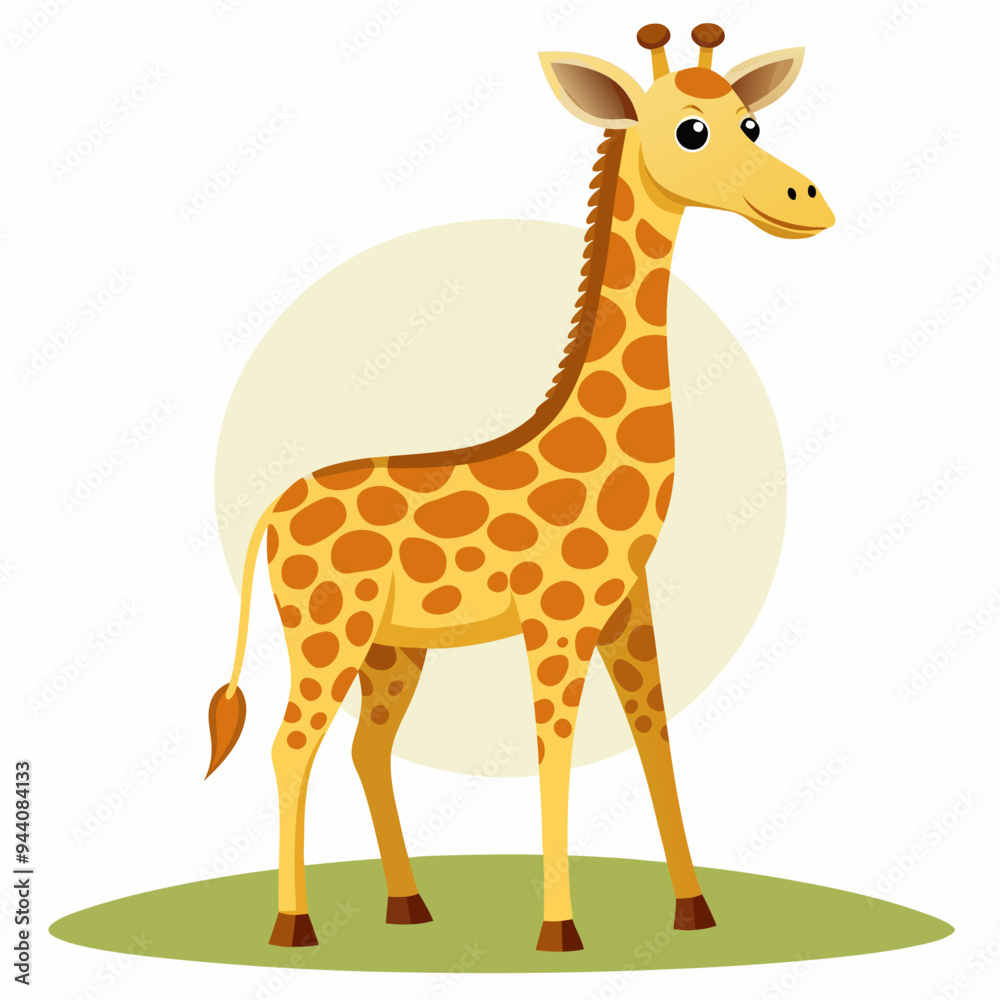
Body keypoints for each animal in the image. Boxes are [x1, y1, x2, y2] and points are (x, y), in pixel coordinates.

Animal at [204, 22, 833, 952]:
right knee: (292, 745)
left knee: (365, 748)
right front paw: (561, 931)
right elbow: (554, 754)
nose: (808, 199)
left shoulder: (627, 607)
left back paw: (409, 905)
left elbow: (655, 741)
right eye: (691, 130)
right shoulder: (556, 618)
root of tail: (270, 515)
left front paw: (693, 911)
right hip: (326, 629)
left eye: (752, 122)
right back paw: (295, 925)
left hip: (395, 645)